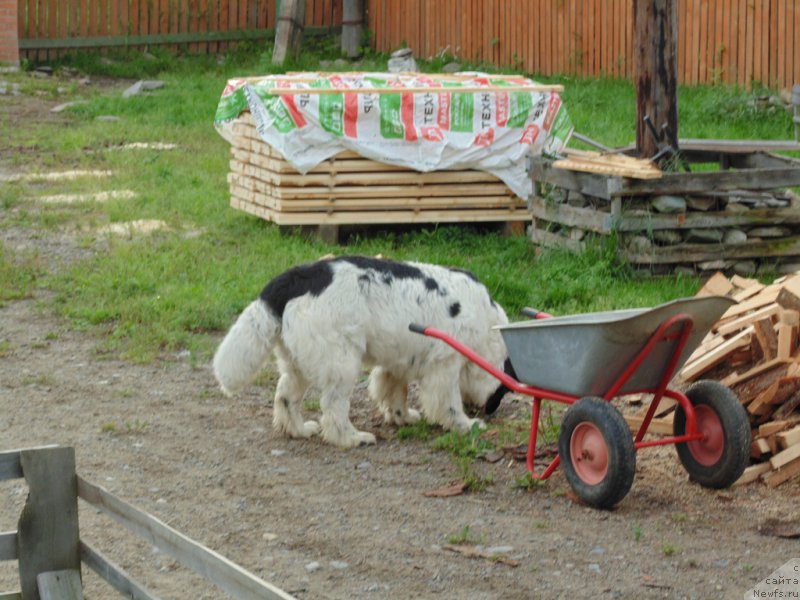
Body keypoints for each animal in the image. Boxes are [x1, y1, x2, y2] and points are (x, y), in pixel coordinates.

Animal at [212, 255, 512, 448]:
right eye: (503, 392)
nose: (492, 411)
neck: (487, 321)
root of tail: (294, 279)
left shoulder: (398, 361)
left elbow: (395, 393)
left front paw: (403, 416)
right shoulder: (445, 365)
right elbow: (448, 404)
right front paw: (467, 425)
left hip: (297, 363)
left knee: (285, 397)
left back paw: (299, 430)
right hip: (341, 364)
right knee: (333, 408)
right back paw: (351, 439)